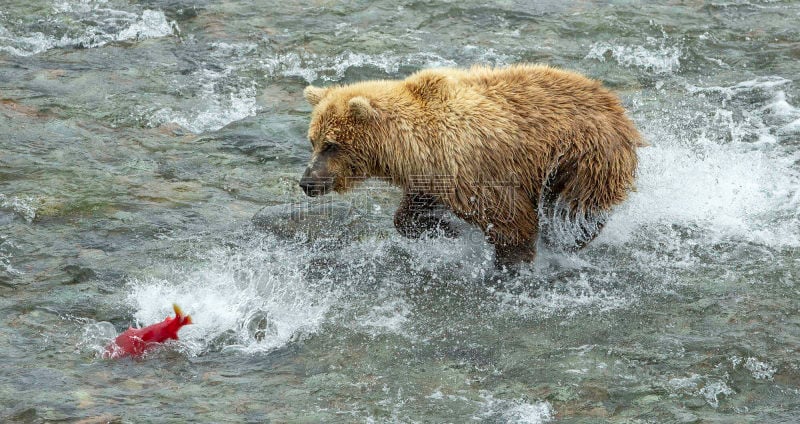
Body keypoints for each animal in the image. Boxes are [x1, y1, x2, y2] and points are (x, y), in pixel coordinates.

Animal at [300, 64, 644, 266]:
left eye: (331, 144)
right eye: (313, 140)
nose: (307, 182)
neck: (412, 146)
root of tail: (618, 109)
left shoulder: (474, 170)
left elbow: (511, 224)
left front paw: (509, 264)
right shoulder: (431, 175)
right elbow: (409, 214)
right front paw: (442, 229)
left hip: (581, 158)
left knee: (574, 209)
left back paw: (567, 239)